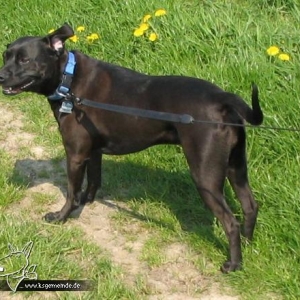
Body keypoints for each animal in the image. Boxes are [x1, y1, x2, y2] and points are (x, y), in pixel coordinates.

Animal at [0, 24, 262, 272]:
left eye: (24, 60)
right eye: (6, 55)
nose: (1, 76)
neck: (68, 78)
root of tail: (222, 98)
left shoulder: (74, 155)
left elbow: (71, 191)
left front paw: (62, 216)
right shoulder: (92, 152)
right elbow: (93, 180)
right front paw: (86, 201)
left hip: (205, 176)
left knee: (230, 222)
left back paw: (233, 264)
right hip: (236, 167)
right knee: (250, 206)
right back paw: (248, 244)